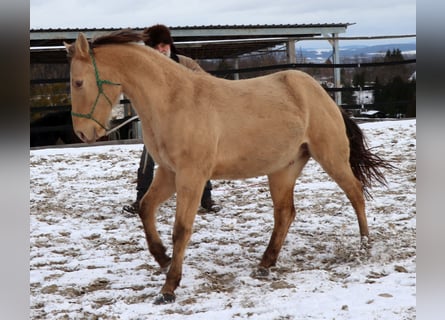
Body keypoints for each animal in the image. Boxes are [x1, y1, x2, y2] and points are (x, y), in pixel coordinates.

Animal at [63, 28, 388, 304]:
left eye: (78, 82)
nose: (82, 133)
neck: (172, 100)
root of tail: (320, 93)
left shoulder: (191, 176)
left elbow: (181, 229)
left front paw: (169, 287)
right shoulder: (169, 174)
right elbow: (145, 208)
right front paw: (163, 258)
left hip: (331, 157)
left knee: (355, 193)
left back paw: (364, 247)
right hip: (283, 169)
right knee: (285, 213)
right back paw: (265, 264)